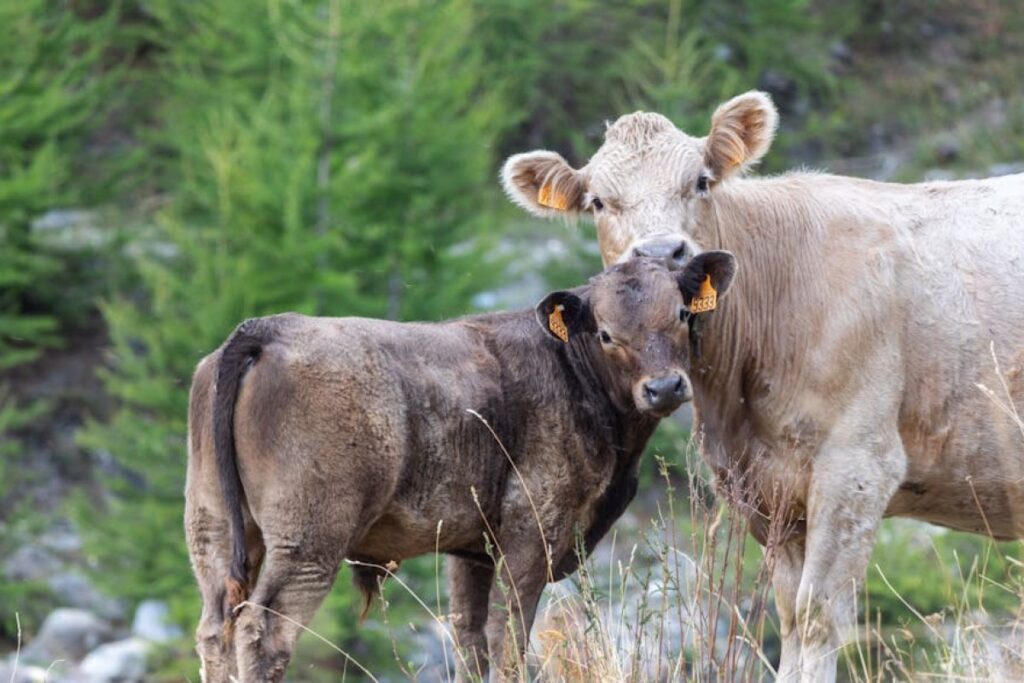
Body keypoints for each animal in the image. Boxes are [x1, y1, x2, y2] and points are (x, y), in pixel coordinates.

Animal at [184, 254, 737, 682]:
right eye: (605, 333)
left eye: (682, 312)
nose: (664, 387)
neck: (569, 368)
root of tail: (269, 329)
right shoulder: (531, 533)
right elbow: (507, 637)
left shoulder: (472, 549)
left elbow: (470, 638)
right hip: (308, 542)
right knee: (262, 630)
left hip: (215, 530)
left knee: (216, 629)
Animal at [501, 91, 1024, 682]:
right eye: (597, 202)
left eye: (701, 180)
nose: (660, 252)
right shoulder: (764, 488)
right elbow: (789, 617)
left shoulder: (859, 464)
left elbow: (817, 617)